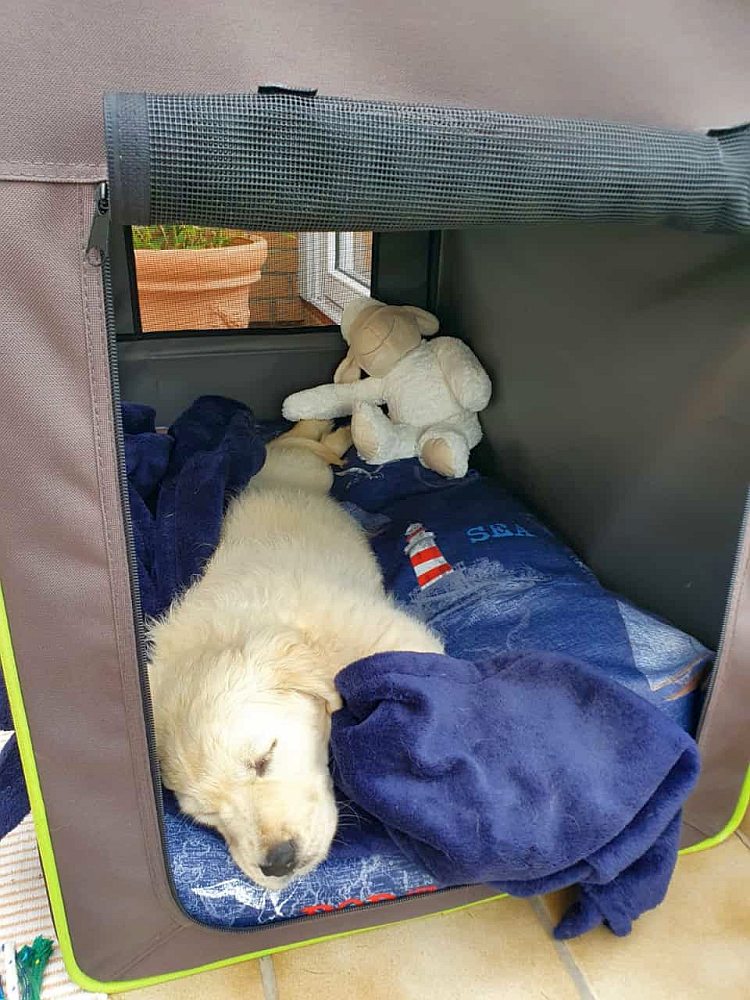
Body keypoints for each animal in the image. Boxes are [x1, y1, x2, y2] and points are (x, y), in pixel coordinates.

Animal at [147, 419, 444, 890]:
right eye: (208, 816)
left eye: (263, 758)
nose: (278, 863)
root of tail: (270, 470)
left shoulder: (391, 636)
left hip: (310, 472)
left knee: (310, 446)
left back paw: (338, 429)